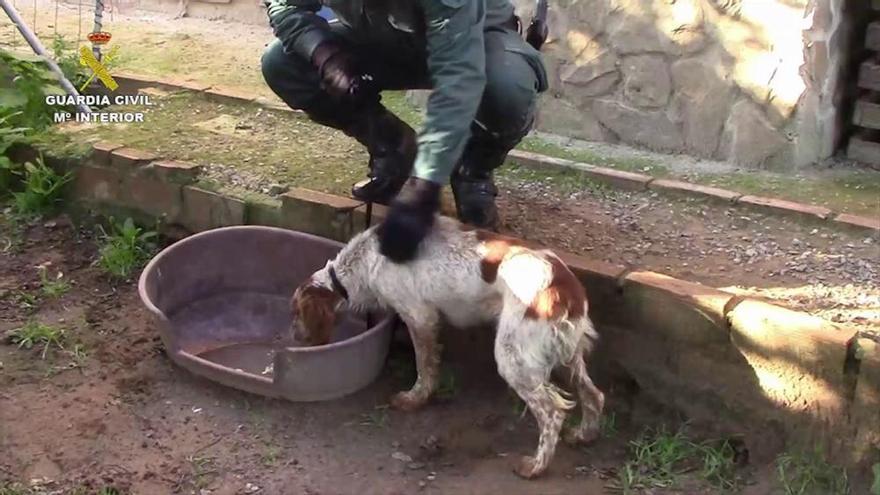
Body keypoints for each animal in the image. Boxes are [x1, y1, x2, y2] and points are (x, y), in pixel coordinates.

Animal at [288, 217, 604, 480]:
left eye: (296, 312)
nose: (295, 336)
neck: (366, 260)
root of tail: (568, 290)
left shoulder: (419, 316)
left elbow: (424, 366)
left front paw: (414, 398)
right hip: (568, 356)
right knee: (594, 395)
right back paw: (583, 435)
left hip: (512, 357)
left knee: (552, 413)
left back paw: (535, 467)